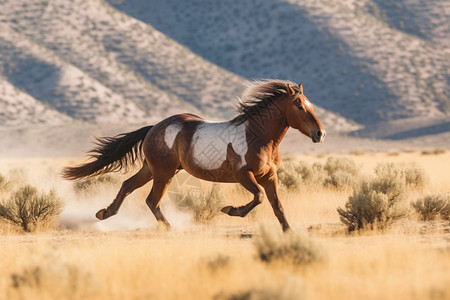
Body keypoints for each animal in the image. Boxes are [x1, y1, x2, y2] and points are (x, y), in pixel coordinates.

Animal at [61, 78, 326, 231]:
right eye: (299, 106)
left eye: (311, 105)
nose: (320, 133)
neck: (257, 136)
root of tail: (154, 128)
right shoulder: (244, 175)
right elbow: (259, 197)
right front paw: (230, 210)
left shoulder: (270, 176)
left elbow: (277, 206)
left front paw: (288, 232)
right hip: (164, 173)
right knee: (151, 200)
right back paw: (169, 228)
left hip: (152, 169)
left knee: (128, 186)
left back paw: (105, 213)